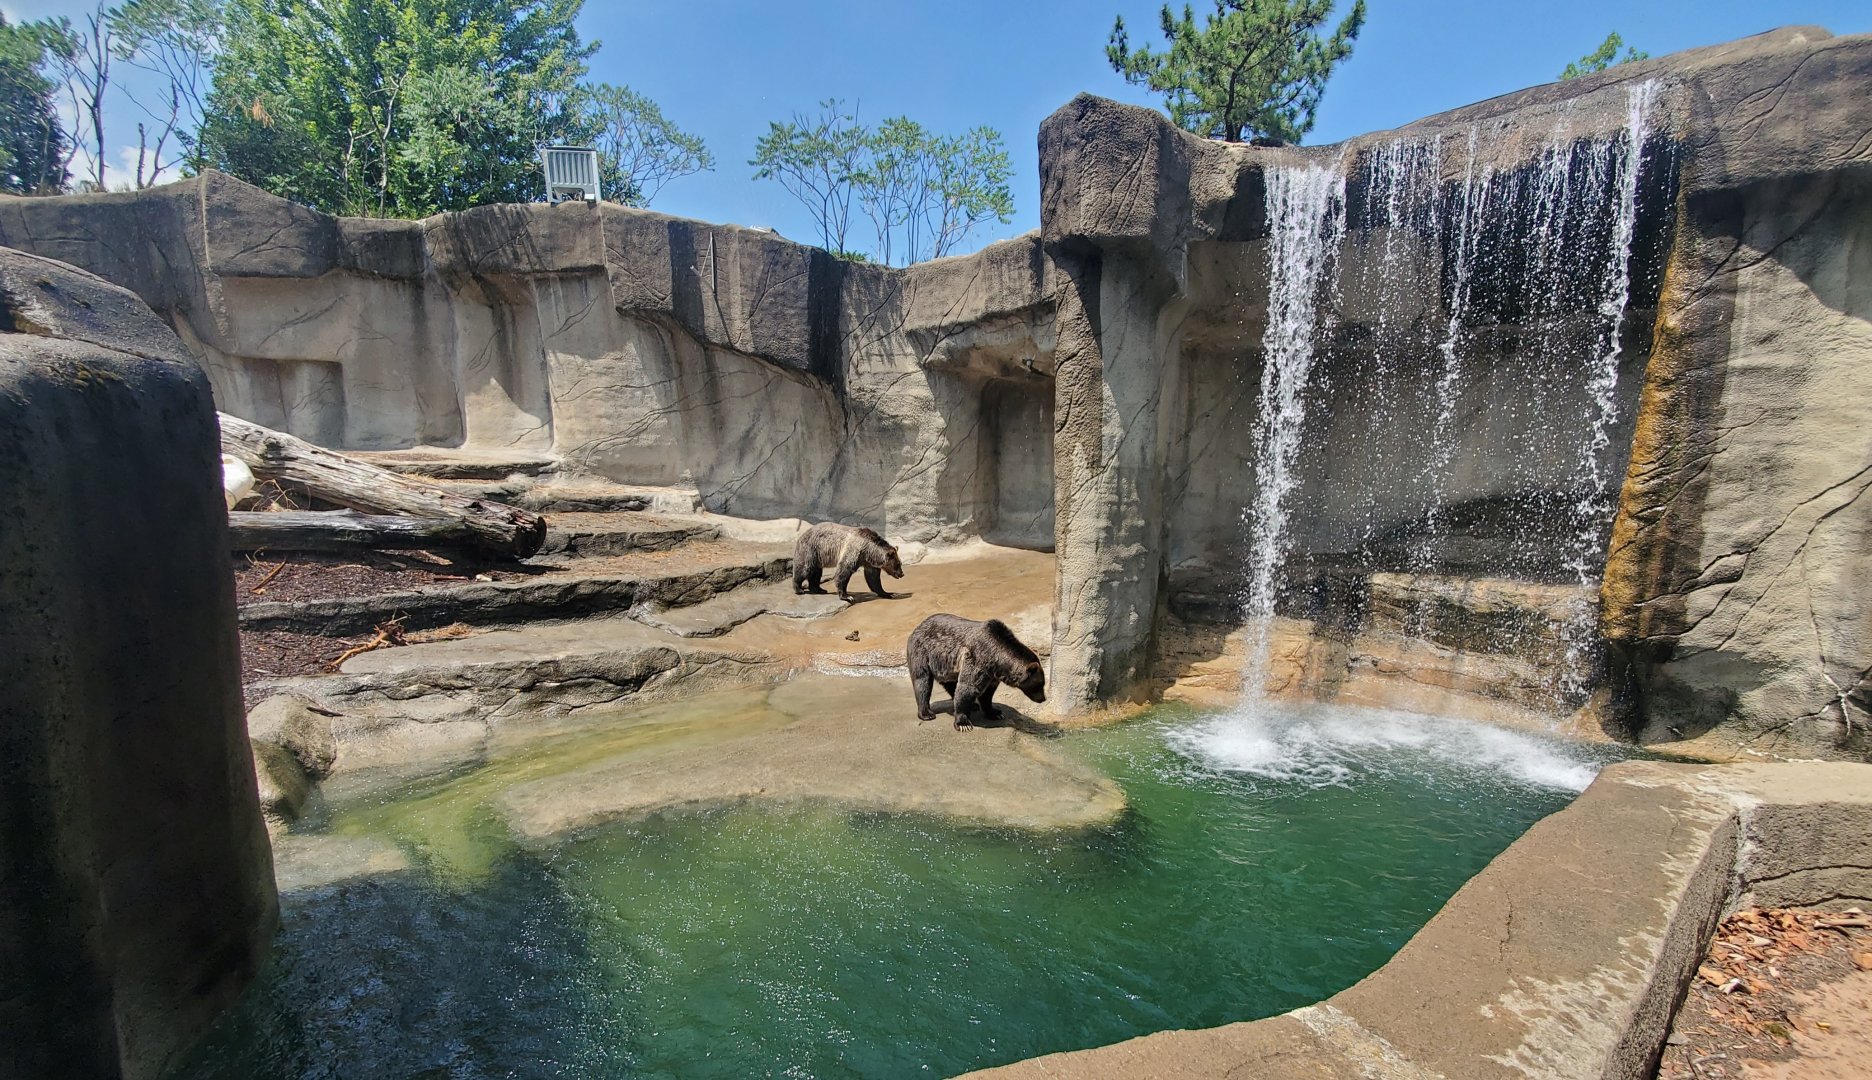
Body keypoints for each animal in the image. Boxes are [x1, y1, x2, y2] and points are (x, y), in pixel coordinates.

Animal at [905, 613, 1047, 730]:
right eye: (1040, 684)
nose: (1043, 699)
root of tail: (918, 626)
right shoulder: (978, 658)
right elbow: (968, 687)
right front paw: (963, 723)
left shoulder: (992, 674)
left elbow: (987, 693)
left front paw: (995, 712)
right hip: (923, 653)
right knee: (922, 681)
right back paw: (926, 713)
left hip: (947, 667)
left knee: (951, 683)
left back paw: (973, 705)